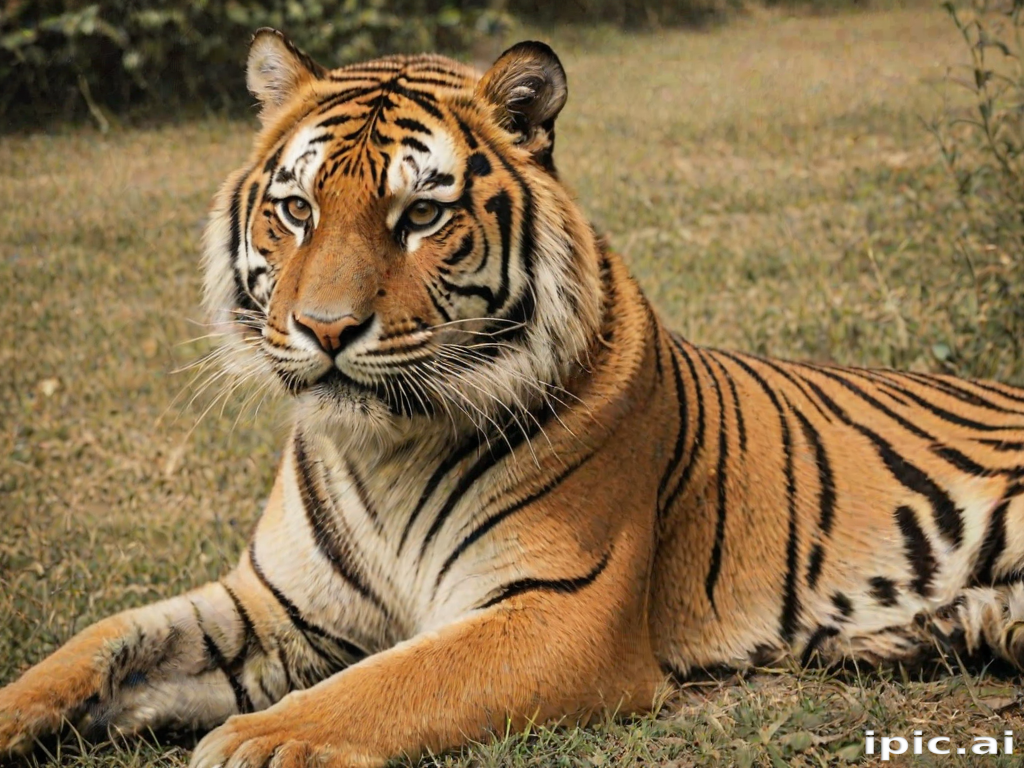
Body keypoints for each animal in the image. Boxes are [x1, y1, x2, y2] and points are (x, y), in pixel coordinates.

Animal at [4, 27, 1024, 768]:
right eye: (296, 210)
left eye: (421, 215)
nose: (326, 330)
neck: (381, 447)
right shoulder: (274, 607)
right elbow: (101, 641)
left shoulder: (558, 610)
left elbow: (385, 685)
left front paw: (249, 742)